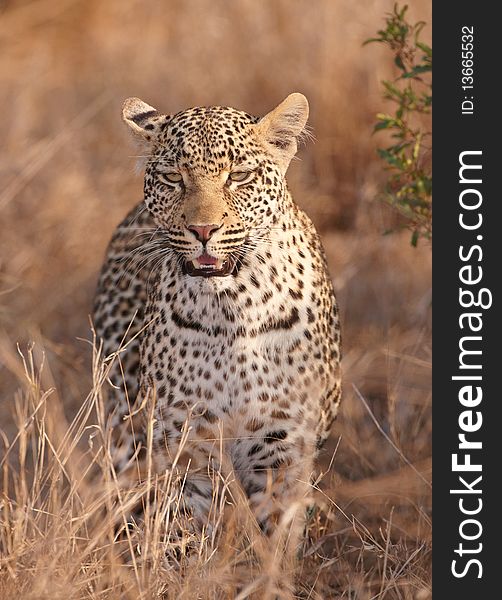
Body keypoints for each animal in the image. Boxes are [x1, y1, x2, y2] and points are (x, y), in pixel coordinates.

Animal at [92, 91, 342, 568]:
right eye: (173, 178)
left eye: (239, 176)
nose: (203, 230)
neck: (233, 306)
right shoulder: (187, 443)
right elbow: (189, 532)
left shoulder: (282, 444)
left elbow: (276, 537)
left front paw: (271, 577)